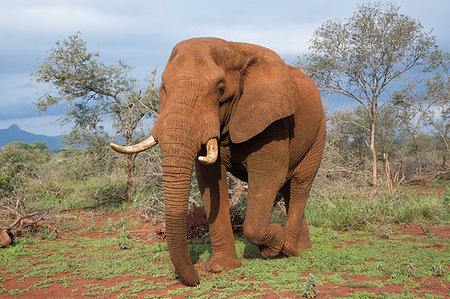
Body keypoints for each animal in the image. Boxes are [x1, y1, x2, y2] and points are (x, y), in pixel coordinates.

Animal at [110, 37, 326, 286]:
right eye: (163, 87)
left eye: (220, 90)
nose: (196, 279)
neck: (232, 48)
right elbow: (210, 179)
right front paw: (220, 268)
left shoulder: (273, 121)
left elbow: (268, 175)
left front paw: (273, 245)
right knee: (290, 189)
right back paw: (302, 247)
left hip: (319, 132)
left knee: (300, 183)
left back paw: (289, 249)